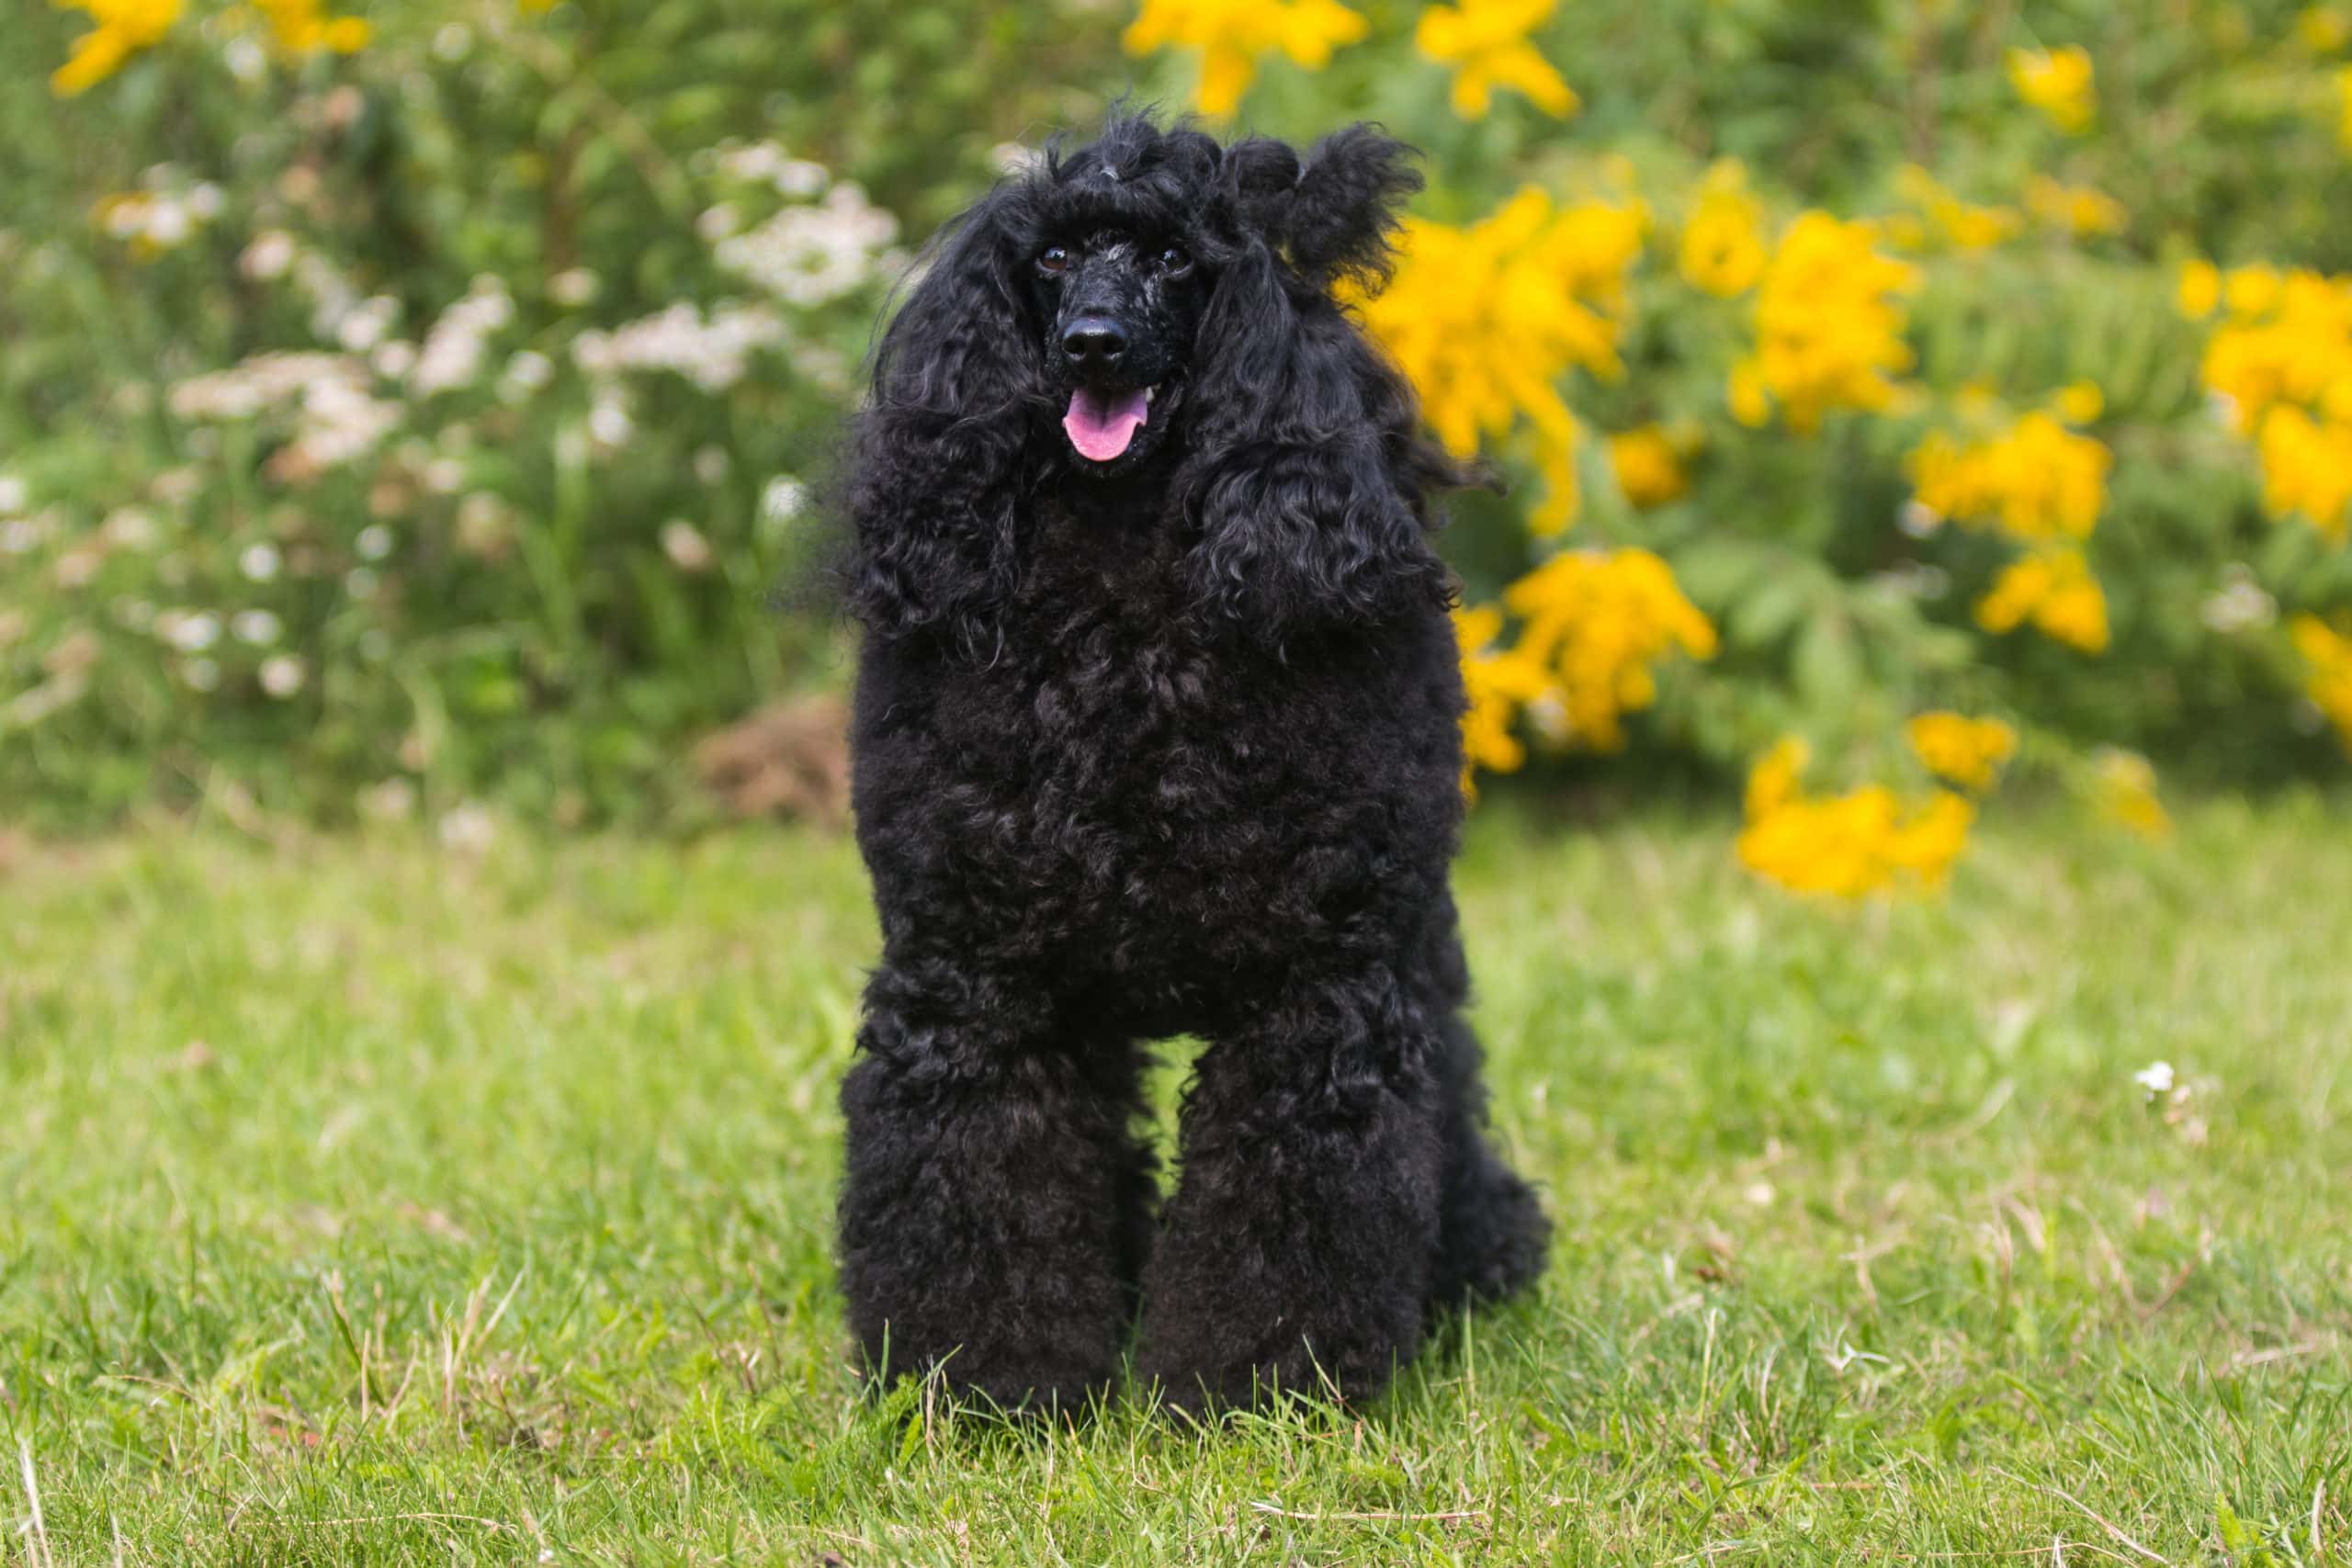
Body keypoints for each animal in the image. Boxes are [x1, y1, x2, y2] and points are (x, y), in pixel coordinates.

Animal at [837, 104, 1552, 1419]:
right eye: (1053, 259)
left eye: (1175, 261)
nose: (1092, 344)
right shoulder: (978, 972)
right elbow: (980, 1181)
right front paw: (990, 1390)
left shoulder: (1316, 989)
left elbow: (1289, 1202)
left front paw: (1255, 1393)